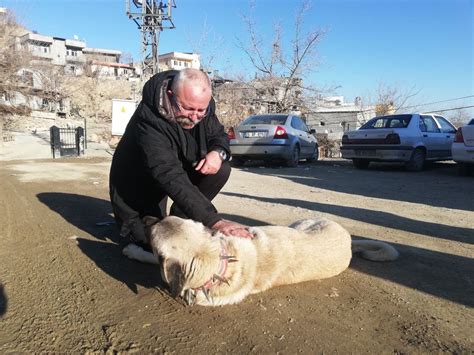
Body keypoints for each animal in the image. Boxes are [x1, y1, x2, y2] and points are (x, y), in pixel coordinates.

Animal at [122, 216, 396, 308]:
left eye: (153, 229)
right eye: (159, 219)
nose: (145, 218)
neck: (221, 263)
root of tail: (349, 241)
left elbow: (151, 261)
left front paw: (133, 250)